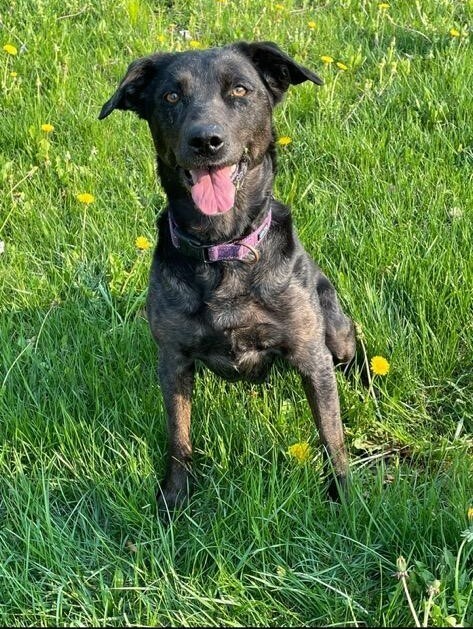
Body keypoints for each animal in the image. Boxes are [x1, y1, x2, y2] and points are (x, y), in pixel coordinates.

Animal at [98, 40, 354, 510]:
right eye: (171, 97)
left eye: (239, 90)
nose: (205, 140)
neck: (224, 250)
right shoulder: (174, 360)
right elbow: (178, 437)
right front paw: (175, 498)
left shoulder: (311, 356)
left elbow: (332, 433)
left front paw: (343, 495)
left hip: (336, 329)